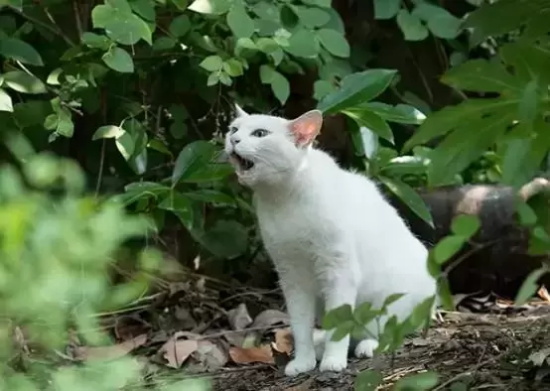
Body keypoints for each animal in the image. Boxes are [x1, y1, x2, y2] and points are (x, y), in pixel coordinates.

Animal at [226, 106, 438, 376]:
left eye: (260, 133)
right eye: (234, 129)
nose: (233, 140)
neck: (283, 199)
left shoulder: (339, 270)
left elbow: (339, 322)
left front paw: (333, 361)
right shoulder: (292, 276)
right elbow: (300, 326)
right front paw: (303, 361)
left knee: (384, 332)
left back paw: (366, 346)